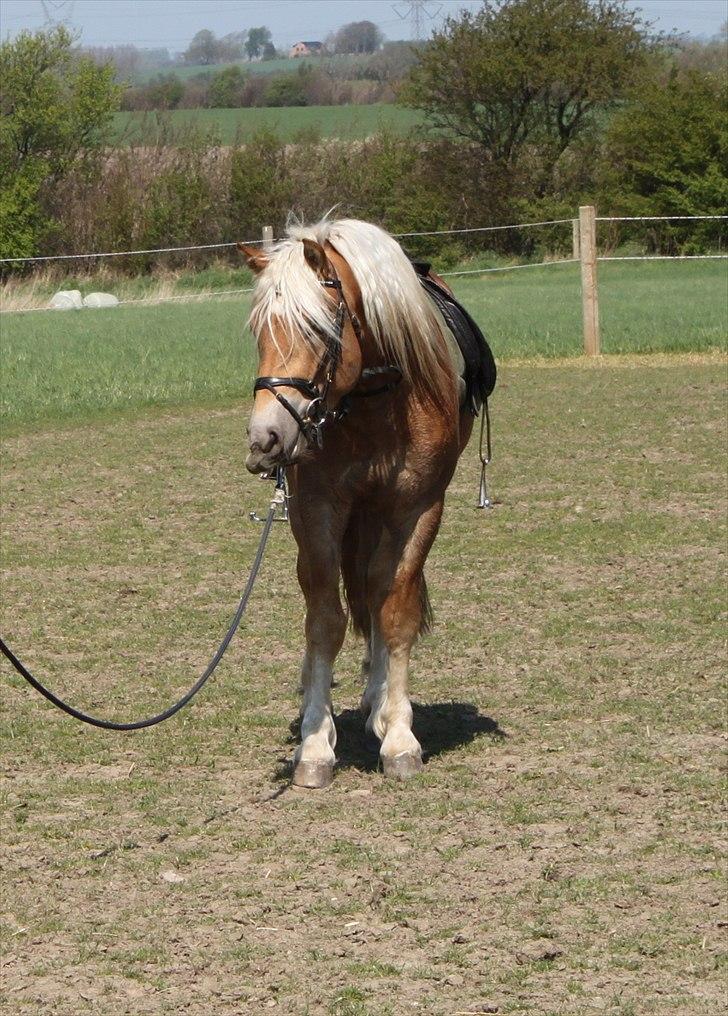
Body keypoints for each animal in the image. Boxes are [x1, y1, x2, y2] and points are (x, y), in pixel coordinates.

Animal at [238, 214, 493, 788]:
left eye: (320, 330)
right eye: (261, 332)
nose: (265, 437)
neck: (375, 404)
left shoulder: (417, 509)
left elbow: (393, 610)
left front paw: (398, 735)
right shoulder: (316, 511)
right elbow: (324, 619)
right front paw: (314, 743)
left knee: (378, 592)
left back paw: (378, 701)